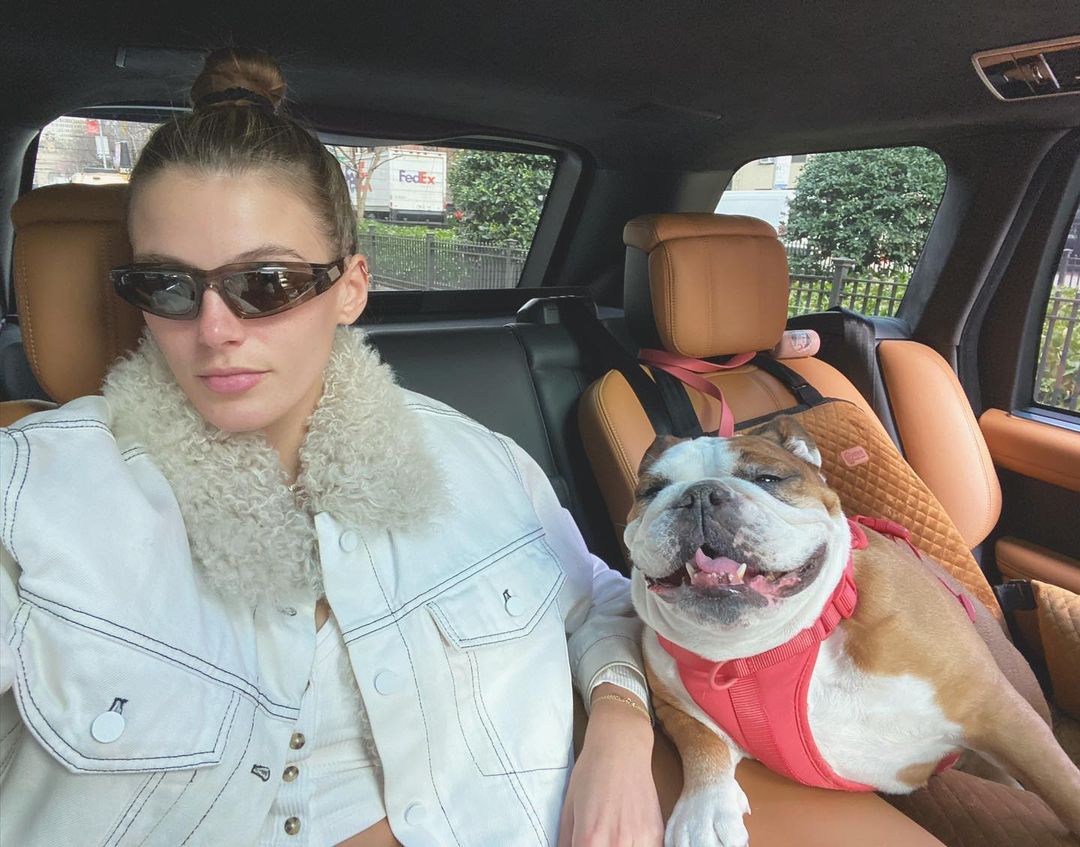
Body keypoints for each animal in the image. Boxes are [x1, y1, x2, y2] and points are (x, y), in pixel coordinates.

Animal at [626, 416, 1080, 847]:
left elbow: (1062, 785)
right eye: (651, 490)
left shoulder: (994, 709)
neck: (764, 647)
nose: (699, 494)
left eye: (767, 478)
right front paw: (703, 812)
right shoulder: (675, 707)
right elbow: (702, 744)